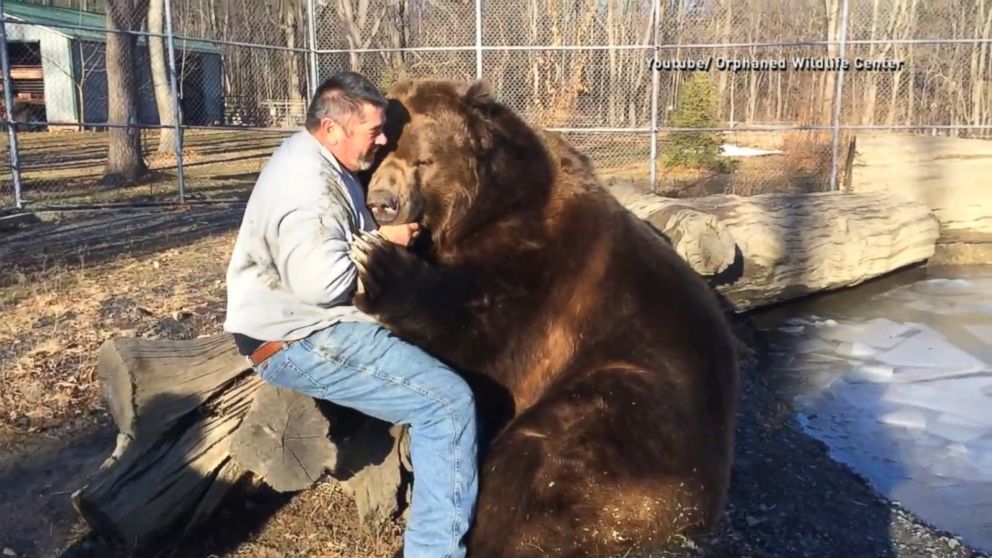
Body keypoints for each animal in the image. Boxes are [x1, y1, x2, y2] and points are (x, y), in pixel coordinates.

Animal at [348, 80, 736, 558]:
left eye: (423, 159)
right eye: (379, 155)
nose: (383, 203)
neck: (482, 210)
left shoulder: (539, 271)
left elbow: (479, 332)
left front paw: (377, 262)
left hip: (633, 413)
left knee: (537, 455)